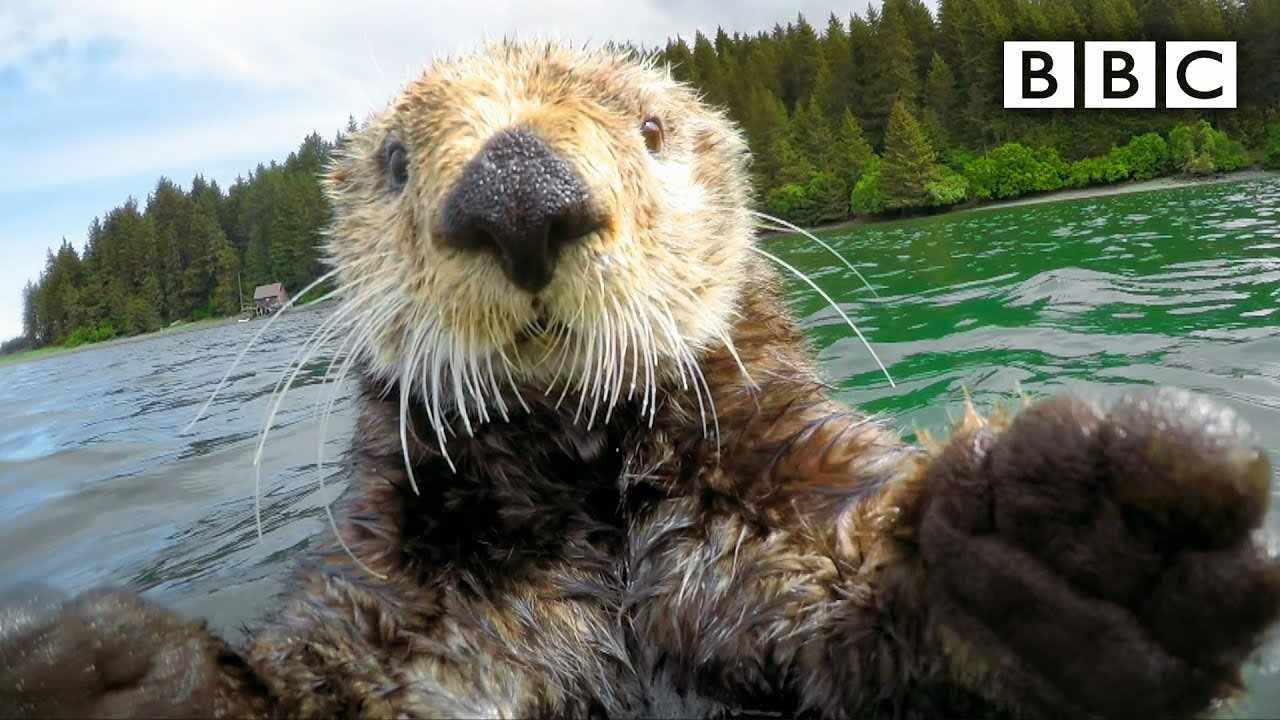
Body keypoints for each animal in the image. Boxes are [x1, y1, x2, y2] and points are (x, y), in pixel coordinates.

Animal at [3, 41, 1279, 719]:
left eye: (651, 127)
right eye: (396, 160)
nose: (516, 188)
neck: (586, 492)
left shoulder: (763, 516)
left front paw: (1074, 544)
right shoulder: (418, 609)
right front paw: (116, 682)